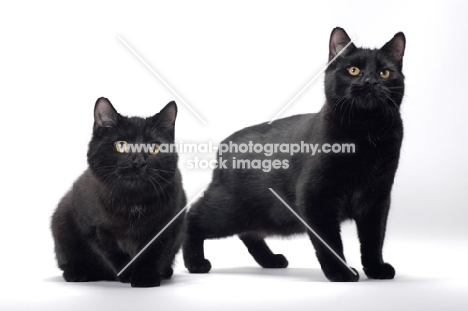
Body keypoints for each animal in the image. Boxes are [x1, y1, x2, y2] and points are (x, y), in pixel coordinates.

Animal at [52, 97, 187, 288]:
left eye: (154, 148)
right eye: (121, 145)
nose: (139, 162)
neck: (132, 202)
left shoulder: (169, 225)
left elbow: (155, 252)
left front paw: (145, 277)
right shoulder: (95, 229)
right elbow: (113, 253)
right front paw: (127, 275)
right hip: (61, 221)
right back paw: (78, 274)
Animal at [183, 27, 406, 282]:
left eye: (385, 73)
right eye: (353, 70)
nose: (370, 81)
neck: (366, 133)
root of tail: (224, 146)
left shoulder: (377, 199)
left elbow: (373, 239)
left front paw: (376, 268)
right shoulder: (314, 197)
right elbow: (329, 242)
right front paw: (340, 272)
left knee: (248, 234)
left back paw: (270, 260)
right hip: (228, 210)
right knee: (193, 216)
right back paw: (195, 263)